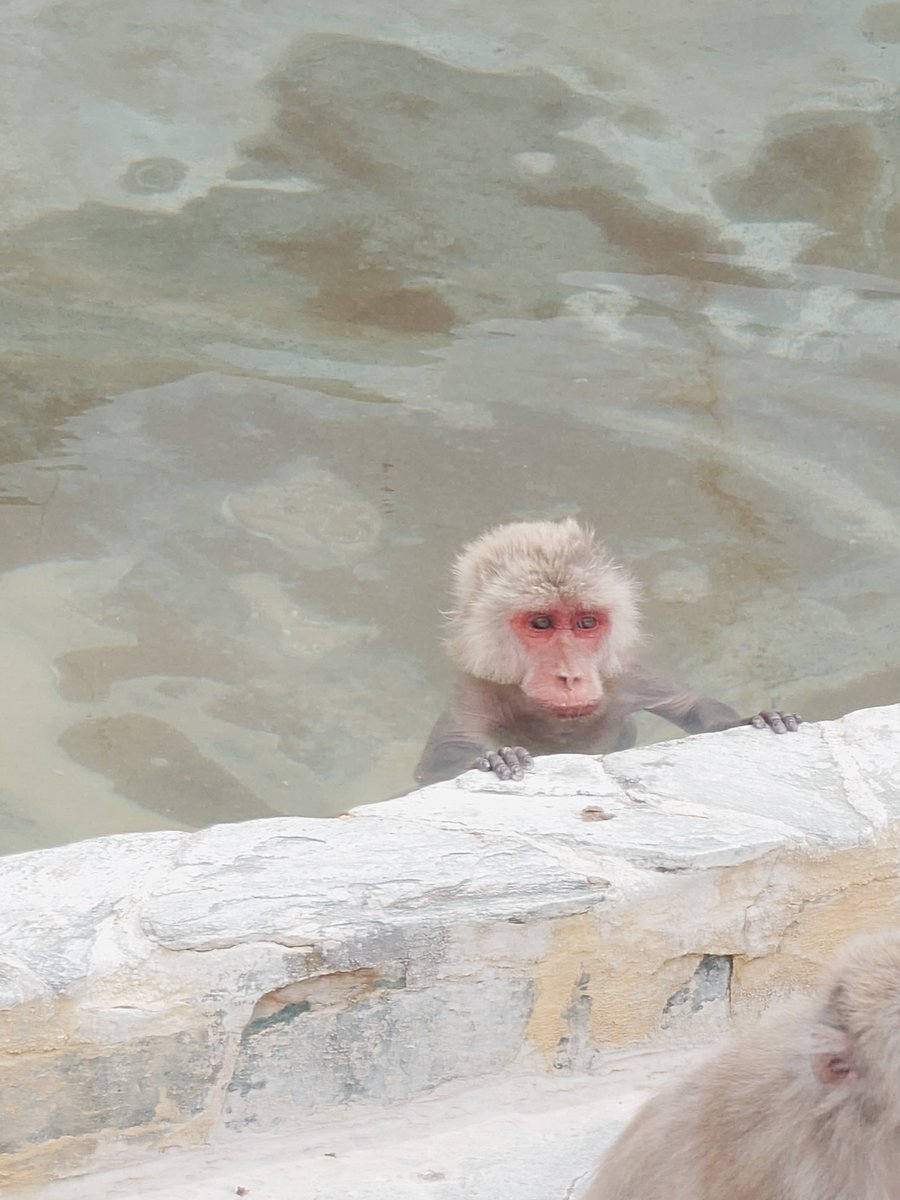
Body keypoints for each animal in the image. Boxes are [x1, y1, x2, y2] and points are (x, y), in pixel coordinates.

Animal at [415, 519, 800, 785]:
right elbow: (432, 769)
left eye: (586, 622)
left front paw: (751, 720)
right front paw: (492, 759)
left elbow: (688, 704)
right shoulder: (477, 689)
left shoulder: (624, 674)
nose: (570, 675)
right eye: (541, 623)